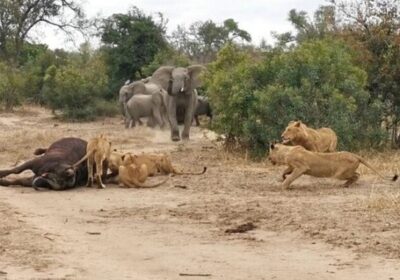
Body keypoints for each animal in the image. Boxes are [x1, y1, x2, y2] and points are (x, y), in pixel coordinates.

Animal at [268, 143, 396, 189]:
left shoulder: (301, 167)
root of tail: (355, 155)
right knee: (356, 175)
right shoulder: (292, 166)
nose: (268, 159)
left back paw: (346, 185)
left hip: (339, 174)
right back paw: (346, 185)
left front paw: (284, 185)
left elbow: (291, 177)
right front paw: (283, 178)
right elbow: (285, 172)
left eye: (269, 153)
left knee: (356, 175)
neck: (286, 151)